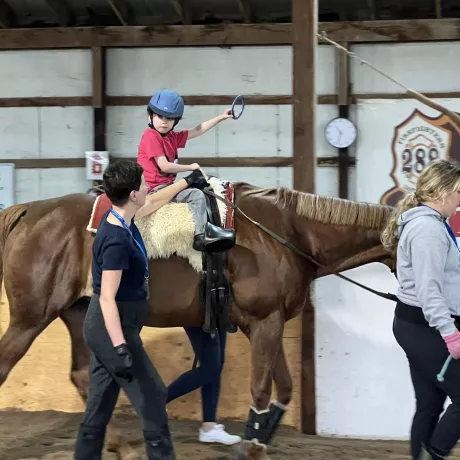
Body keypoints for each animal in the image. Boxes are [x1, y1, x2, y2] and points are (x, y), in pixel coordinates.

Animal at [0, 181, 394, 458]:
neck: (288, 234)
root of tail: (28, 211)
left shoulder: (270, 321)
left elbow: (283, 387)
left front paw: (259, 442)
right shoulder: (264, 321)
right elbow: (262, 388)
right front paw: (251, 447)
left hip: (79, 312)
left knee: (82, 375)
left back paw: (118, 446)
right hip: (30, 318)